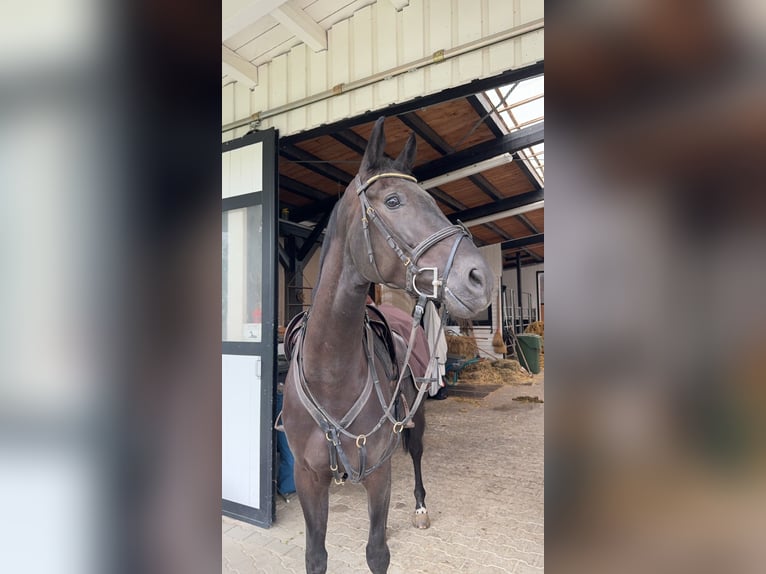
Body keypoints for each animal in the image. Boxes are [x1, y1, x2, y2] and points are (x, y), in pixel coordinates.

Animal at [282, 118, 492, 574]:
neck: (331, 372)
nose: (479, 278)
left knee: (415, 456)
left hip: (416, 422)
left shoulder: (378, 474)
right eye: (393, 200)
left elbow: (377, 552)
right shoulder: (308, 479)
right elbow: (315, 556)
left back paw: (419, 507)